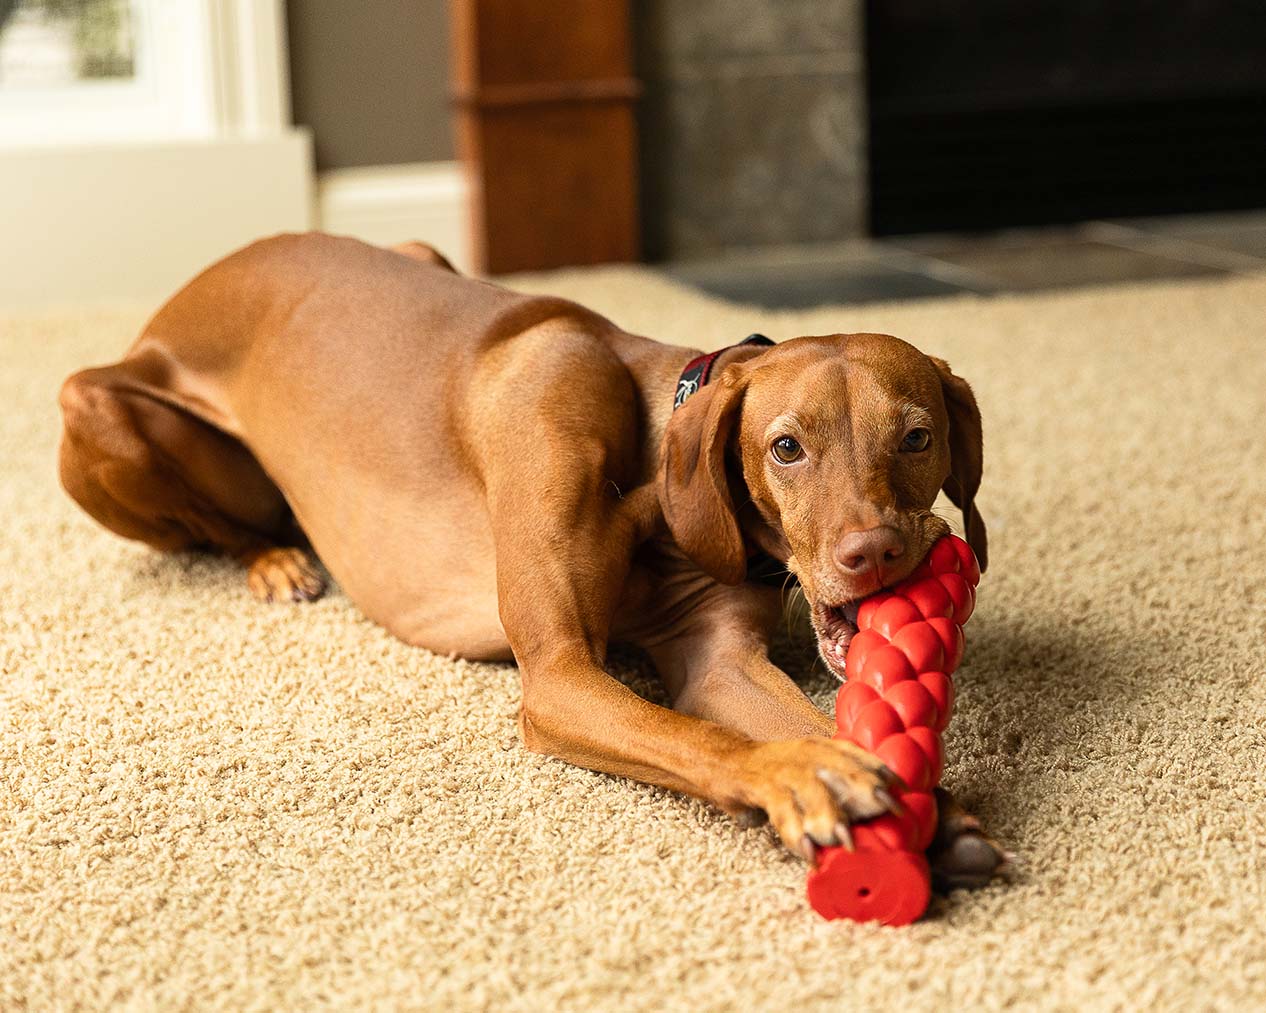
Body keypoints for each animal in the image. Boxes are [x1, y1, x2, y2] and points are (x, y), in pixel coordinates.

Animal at [56, 235, 1007, 886]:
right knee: (220, 523)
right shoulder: (558, 673)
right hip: (90, 404)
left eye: (918, 436)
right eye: (786, 447)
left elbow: (786, 713)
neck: (655, 458)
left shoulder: (719, 659)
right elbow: (697, 734)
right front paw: (800, 772)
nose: (875, 553)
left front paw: (930, 807)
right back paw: (275, 560)